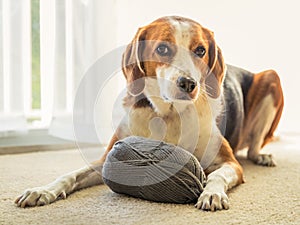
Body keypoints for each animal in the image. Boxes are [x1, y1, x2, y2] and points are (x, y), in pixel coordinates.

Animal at [15, 16, 284, 211]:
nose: (189, 84)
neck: (169, 115)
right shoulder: (104, 160)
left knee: (254, 146)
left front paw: (212, 193)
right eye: (163, 49)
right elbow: (70, 174)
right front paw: (43, 190)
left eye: (200, 50)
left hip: (271, 78)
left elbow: (217, 176)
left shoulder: (230, 163)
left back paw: (262, 157)